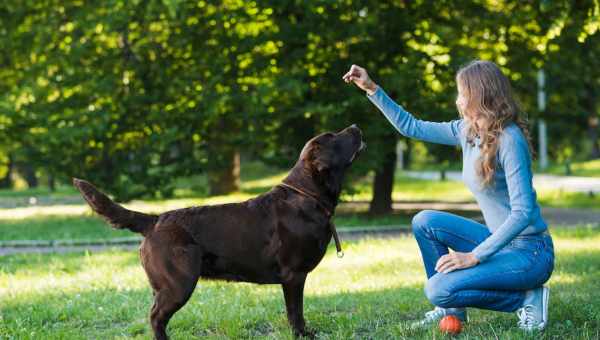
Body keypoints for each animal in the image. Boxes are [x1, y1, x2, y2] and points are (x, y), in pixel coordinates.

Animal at [75, 123, 366, 338]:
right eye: (332, 136)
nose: (355, 126)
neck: (308, 194)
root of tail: (155, 219)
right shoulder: (293, 275)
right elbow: (295, 312)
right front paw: (303, 335)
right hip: (178, 283)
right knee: (156, 317)